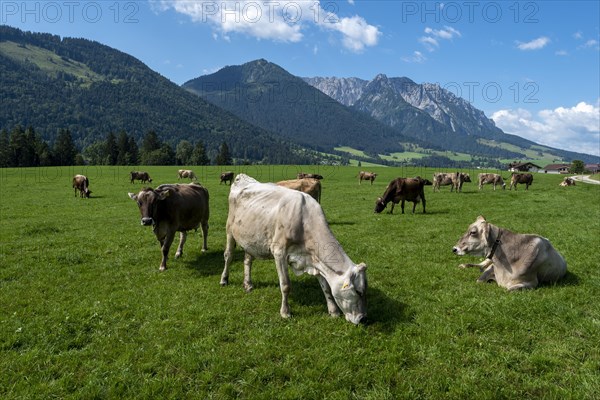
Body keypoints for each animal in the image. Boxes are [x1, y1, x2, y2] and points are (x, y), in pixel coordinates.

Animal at [223, 173, 368, 324]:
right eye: (359, 292)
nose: (363, 318)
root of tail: (243, 177)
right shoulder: (279, 252)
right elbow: (285, 285)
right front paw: (285, 312)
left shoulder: (315, 259)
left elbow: (326, 287)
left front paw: (333, 311)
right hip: (229, 230)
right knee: (228, 255)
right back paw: (224, 279)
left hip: (250, 239)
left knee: (247, 260)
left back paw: (248, 284)